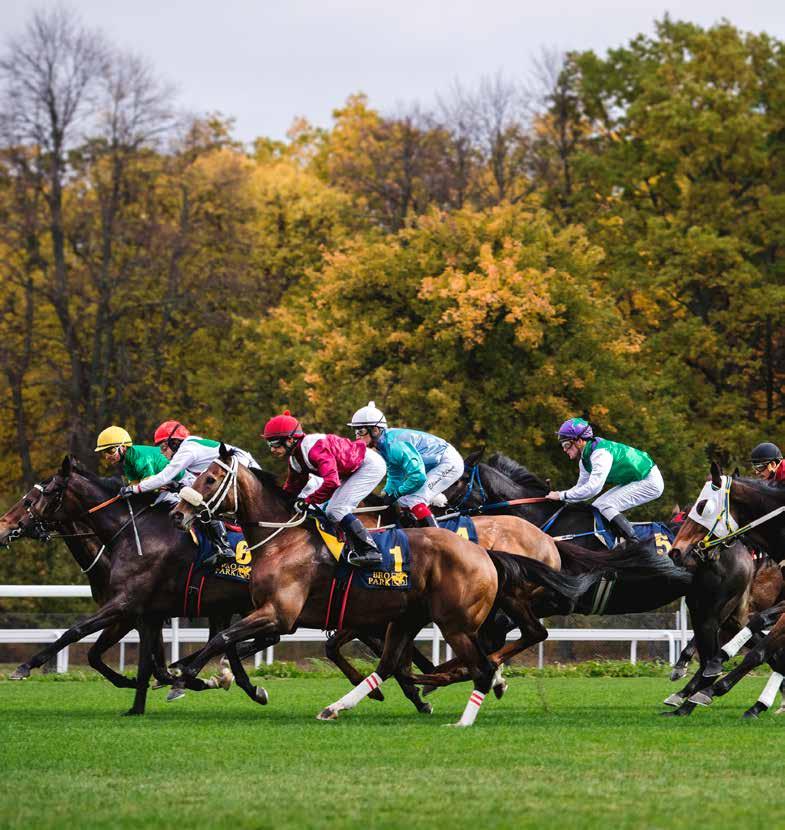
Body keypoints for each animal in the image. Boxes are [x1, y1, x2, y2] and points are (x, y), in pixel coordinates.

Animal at [165, 448, 596, 728]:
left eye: (209, 478)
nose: (179, 513)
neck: (283, 539)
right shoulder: (326, 617)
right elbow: (239, 643)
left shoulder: (283, 614)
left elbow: (224, 638)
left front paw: (185, 673)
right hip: (423, 615)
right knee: (504, 642)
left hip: (462, 619)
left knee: (491, 655)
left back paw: (458, 697)